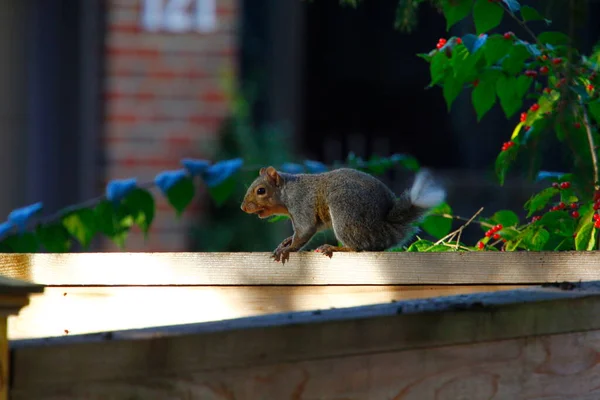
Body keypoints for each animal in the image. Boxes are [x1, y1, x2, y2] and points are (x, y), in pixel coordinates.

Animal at [240, 166, 446, 264]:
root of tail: (384, 224)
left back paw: (334, 248)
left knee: (359, 247)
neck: (287, 192)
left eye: (260, 191)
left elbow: (305, 230)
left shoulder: (301, 203)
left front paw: (288, 249)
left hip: (344, 210)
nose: (243, 208)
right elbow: (297, 234)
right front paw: (284, 243)